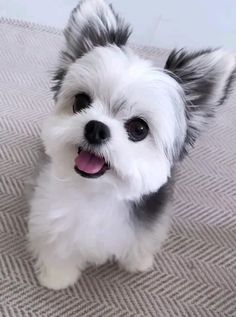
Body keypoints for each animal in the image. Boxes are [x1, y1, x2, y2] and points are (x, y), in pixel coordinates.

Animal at [28, 0, 236, 288]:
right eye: (81, 101)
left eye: (139, 128)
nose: (96, 128)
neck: (99, 194)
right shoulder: (53, 221)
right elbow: (58, 249)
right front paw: (57, 278)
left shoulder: (147, 226)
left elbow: (140, 244)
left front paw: (138, 263)